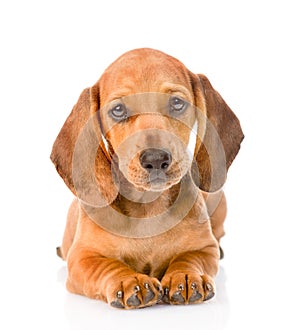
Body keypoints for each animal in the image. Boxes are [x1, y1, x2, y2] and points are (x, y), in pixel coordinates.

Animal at [51, 49, 244, 310]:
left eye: (177, 103)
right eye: (118, 110)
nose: (155, 159)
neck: (148, 206)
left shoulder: (205, 249)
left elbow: (190, 257)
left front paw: (186, 276)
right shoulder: (82, 257)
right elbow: (107, 265)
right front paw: (128, 280)